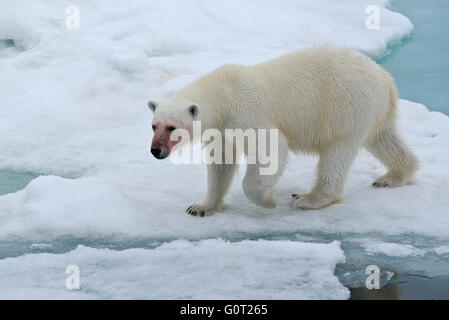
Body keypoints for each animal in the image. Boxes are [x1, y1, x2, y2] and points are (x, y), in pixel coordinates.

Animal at [149, 46, 418, 216]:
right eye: (154, 125)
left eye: (172, 127)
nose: (155, 150)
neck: (223, 93)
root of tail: (386, 80)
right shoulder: (221, 130)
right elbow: (221, 165)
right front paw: (201, 207)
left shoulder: (245, 112)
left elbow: (270, 148)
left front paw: (267, 202)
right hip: (372, 110)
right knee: (383, 139)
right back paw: (394, 176)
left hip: (345, 106)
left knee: (336, 152)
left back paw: (309, 199)